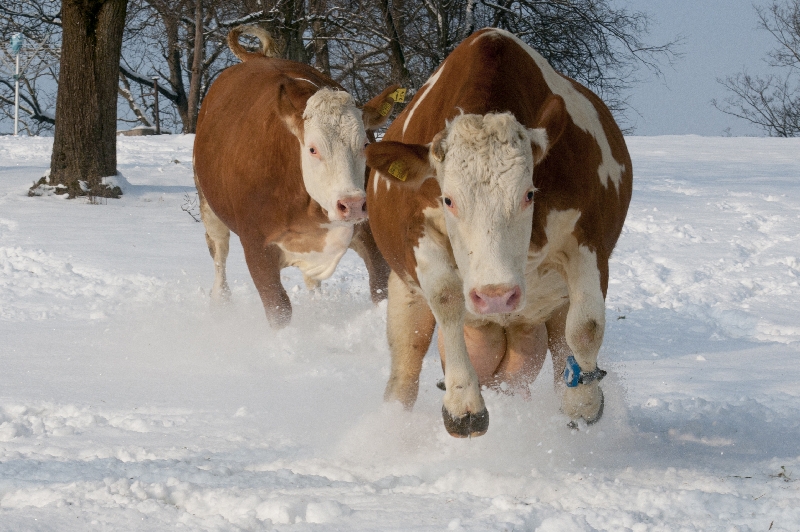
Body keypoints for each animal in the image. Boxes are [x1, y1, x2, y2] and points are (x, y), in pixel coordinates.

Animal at [191, 26, 396, 328]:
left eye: (365, 144)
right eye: (312, 148)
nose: (352, 204)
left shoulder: (369, 235)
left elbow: (381, 292)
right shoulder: (257, 247)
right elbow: (279, 310)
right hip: (208, 204)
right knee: (219, 251)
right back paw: (220, 302)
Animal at [366, 28, 636, 436]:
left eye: (529, 194)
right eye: (448, 199)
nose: (496, 296)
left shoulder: (587, 240)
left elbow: (587, 325)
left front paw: (584, 400)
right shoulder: (419, 236)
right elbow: (447, 301)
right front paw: (463, 401)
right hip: (404, 296)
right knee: (404, 375)